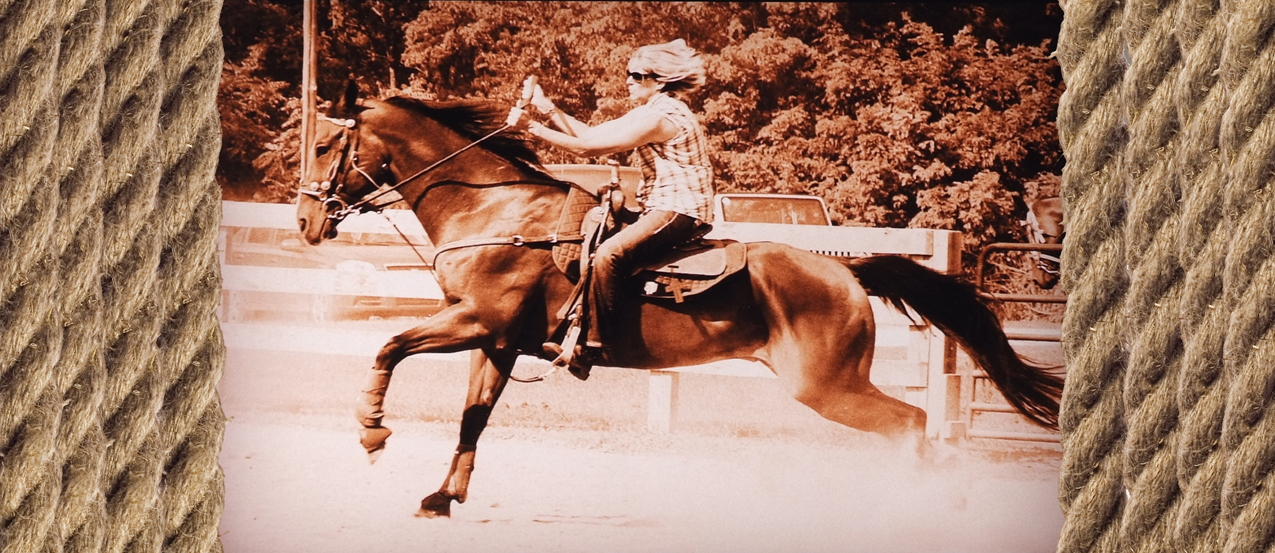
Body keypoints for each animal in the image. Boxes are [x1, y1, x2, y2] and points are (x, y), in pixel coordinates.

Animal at [295, 82, 1064, 518]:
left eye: (327, 145)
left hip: (827, 386)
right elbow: (471, 420)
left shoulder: (473, 320)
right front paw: (442, 497)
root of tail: (847, 273)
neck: (499, 210)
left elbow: (388, 345)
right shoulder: (498, 342)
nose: (304, 220)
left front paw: (371, 429)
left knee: (912, 424)